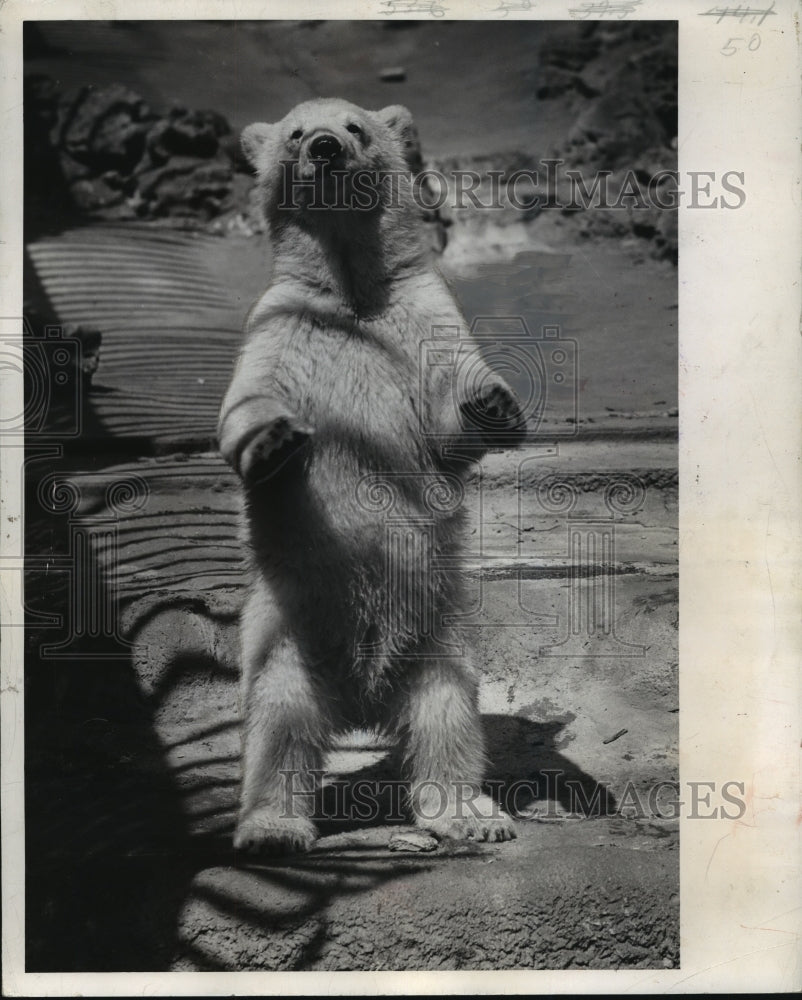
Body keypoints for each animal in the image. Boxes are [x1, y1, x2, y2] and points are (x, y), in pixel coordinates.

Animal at [218, 98, 526, 854]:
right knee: (278, 722)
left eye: (355, 127)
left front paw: (494, 403)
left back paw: (469, 814)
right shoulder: (281, 325)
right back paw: (272, 827)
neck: (351, 294)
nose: (325, 147)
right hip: (284, 627)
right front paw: (273, 441)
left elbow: (448, 426)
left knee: (449, 713)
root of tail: (361, 700)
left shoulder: (422, 316)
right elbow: (248, 402)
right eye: (297, 133)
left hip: (437, 628)